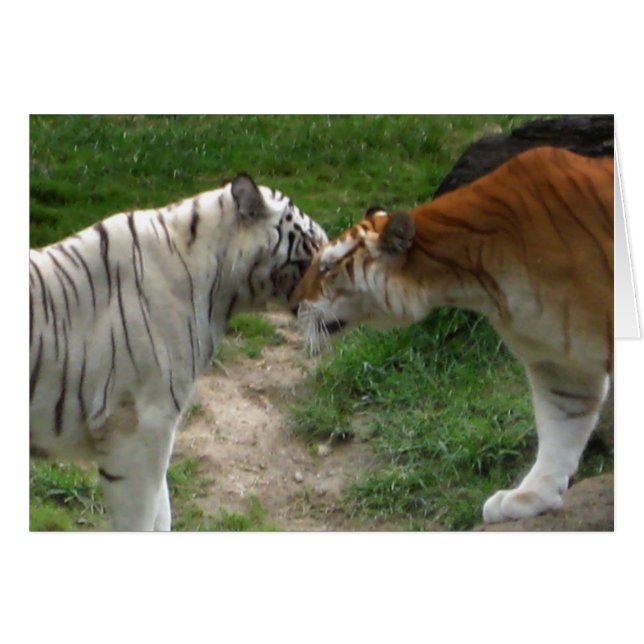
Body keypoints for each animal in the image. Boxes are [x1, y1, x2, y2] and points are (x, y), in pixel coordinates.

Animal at [291, 146, 613, 524]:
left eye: (327, 268)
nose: (292, 306)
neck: (478, 278)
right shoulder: (559, 363)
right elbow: (560, 431)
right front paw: (529, 496)